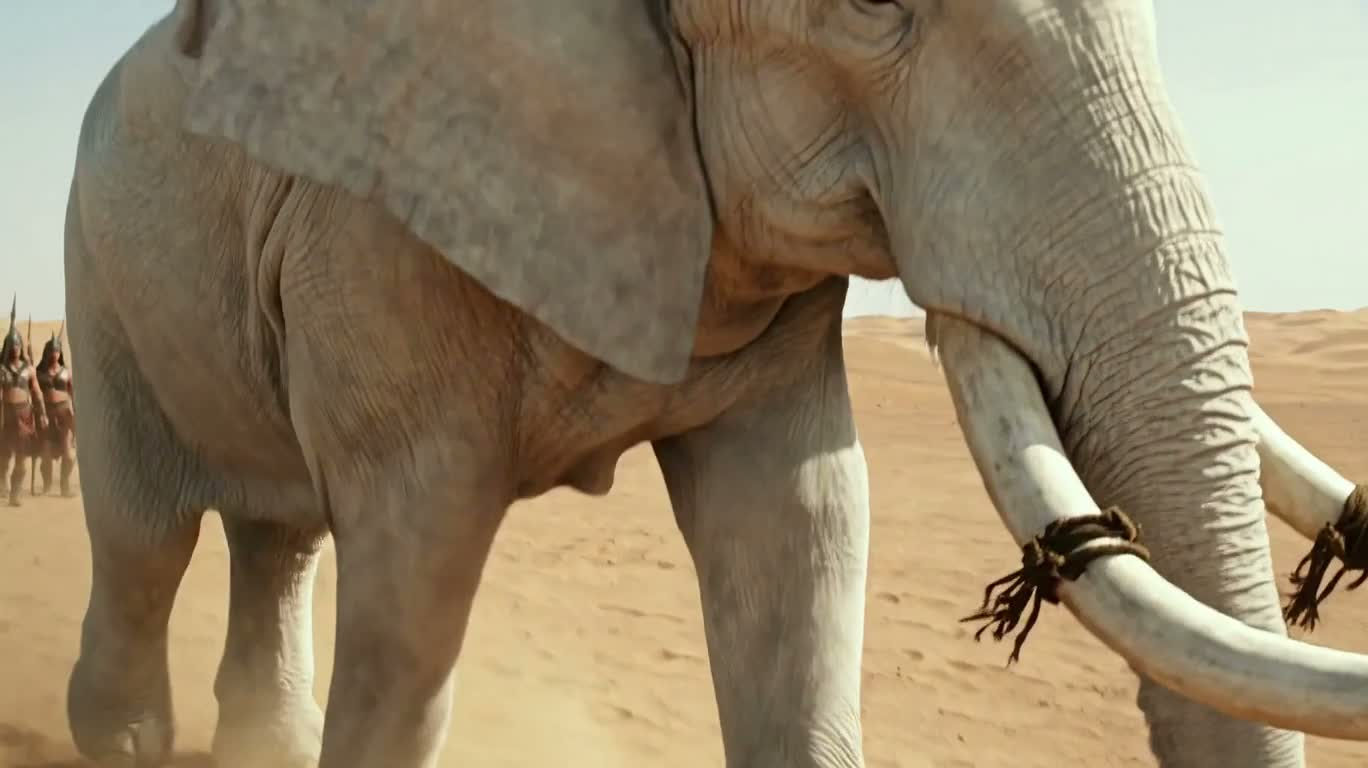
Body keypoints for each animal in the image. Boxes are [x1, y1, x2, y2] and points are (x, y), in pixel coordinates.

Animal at [58, 0, 1368, 766]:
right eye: (875, 5)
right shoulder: (376, 218)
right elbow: (418, 578)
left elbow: (801, 524)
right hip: (95, 266)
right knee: (144, 535)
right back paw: (117, 741)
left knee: (279, 538)